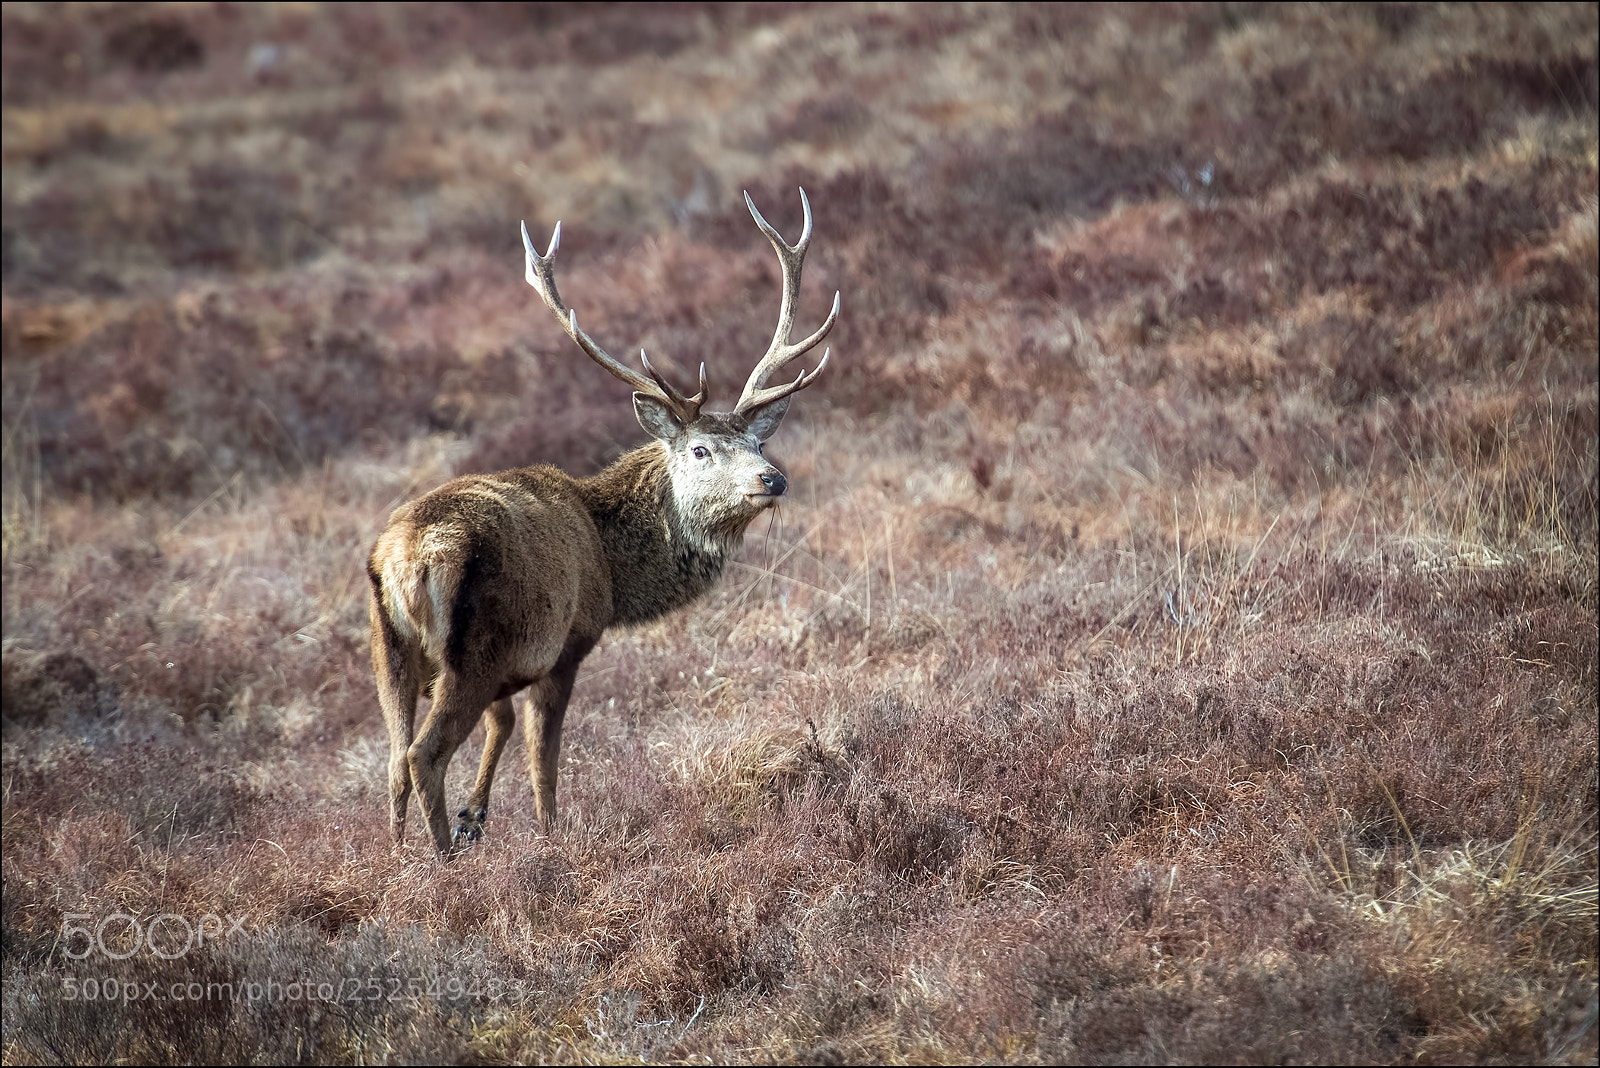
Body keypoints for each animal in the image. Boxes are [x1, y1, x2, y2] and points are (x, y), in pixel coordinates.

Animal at [366, 189, 839, 854]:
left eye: (757, 442)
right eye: (701, 450)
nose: (772, 479)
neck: (613, 569)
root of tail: (407, 560)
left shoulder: (509, 670)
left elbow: (502, 723)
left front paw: (475, 815)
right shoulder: (568, 642)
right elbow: (543, 758)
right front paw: (550, 838)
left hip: (389, 646)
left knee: (391, 757)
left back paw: (399, 854)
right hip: (472, 647)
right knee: (421, 754)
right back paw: (439, 864)